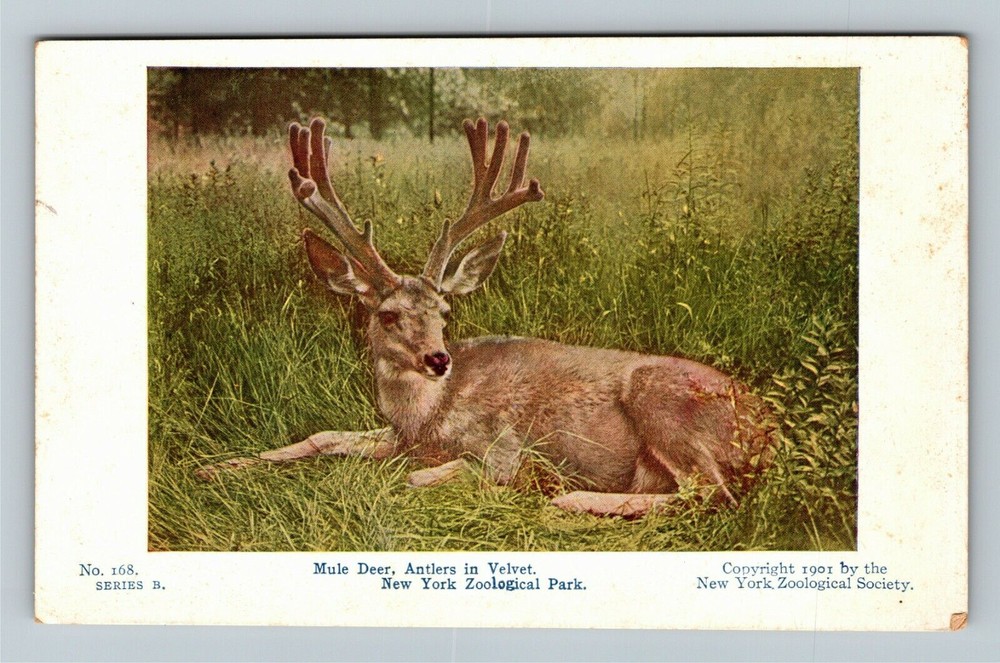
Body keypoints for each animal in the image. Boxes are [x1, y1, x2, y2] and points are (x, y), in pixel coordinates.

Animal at [195, 117, 775, 518]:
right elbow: (322, 437)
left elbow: (420, 477)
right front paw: (217, 466)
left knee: (712, 493)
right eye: (388, 315)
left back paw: (572, 501)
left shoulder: (503, 447)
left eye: (445, 311)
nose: (438, 359)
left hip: (662, 404)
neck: (427, 416)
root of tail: (767, 429)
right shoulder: (397, 435)